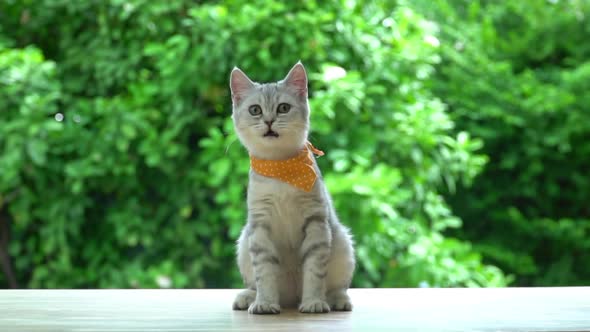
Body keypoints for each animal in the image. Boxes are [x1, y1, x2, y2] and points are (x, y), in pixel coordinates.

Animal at [230, 62, 356, 314]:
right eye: (255, 110)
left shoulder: (316, 222)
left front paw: (313, 302)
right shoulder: (260, 226)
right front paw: (265, 303)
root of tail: (290, 297)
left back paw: (337, 300)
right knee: (255, 283)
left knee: (337, 287)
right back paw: (249, 297)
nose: (269, 121)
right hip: (244, 243)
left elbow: (314, 270)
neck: (281, 168)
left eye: (283, 108)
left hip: (344, 245)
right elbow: (265, 272)